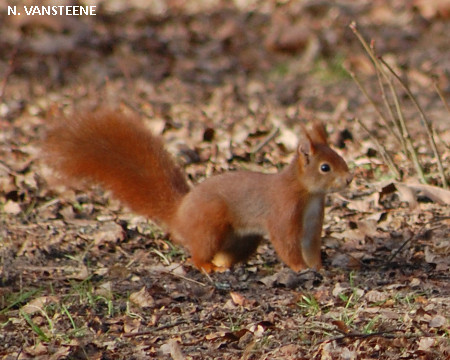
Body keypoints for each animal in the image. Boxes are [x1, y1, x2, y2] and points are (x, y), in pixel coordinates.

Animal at [43, 109, 352, 272]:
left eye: (340, 156)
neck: (308, 194)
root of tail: (180, 212)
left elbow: (311, 244)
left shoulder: (312, 220)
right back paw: (207, 267)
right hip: (210, 223)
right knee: (198, 253)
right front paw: (300, 268)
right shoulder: (283, 211)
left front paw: (319, 267)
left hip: (242, 239)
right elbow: (286, 243)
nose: (349, 179)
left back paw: (225, 266)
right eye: (325, 167)